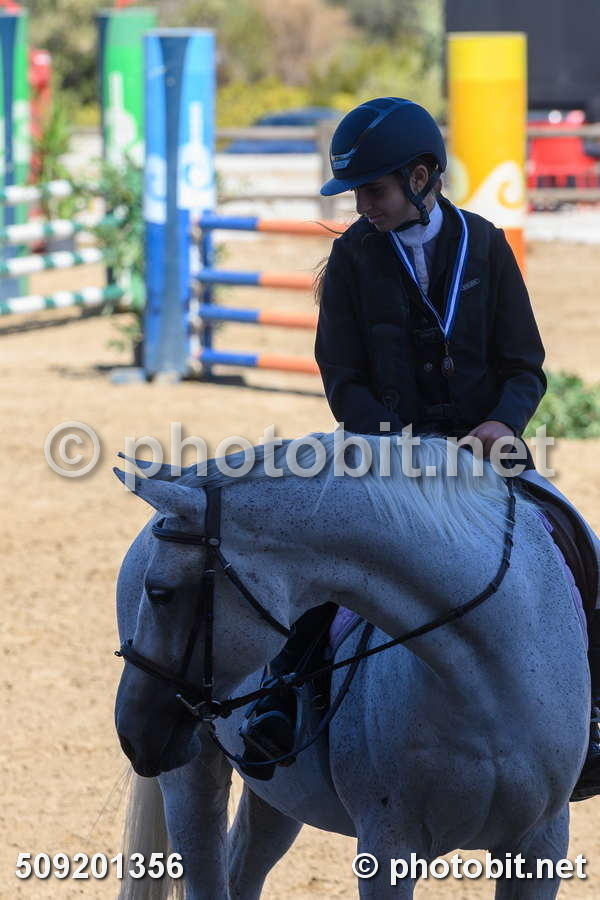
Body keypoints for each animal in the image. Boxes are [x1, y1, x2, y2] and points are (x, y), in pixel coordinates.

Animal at [113, 433, 590, 899]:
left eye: (160, 593)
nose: (130, 733)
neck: (487, 682)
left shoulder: (541, 844)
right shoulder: (389, 844)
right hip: (191, 779)